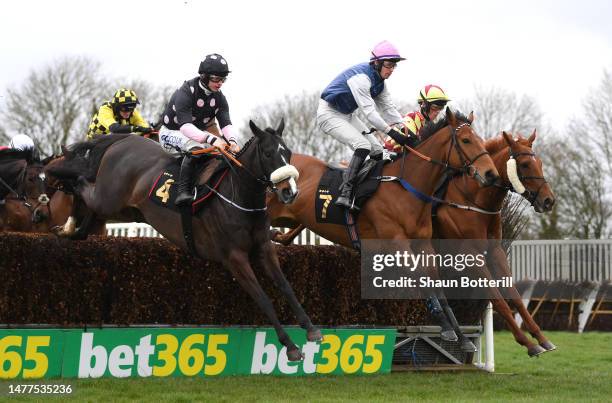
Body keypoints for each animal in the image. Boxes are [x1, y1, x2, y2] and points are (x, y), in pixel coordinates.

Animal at [46, 121, 322, 362]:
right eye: (267, 153)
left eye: (287, 152)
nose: (290, 192)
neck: (240, 199)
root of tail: (123, 140)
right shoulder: (234, 258)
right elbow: (263, 298)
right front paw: (290, 346)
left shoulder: (264, 249)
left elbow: (285, 286)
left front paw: (311, 329)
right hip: (109, 197)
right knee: (81, 183)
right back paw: (63, 204)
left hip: (122, 207)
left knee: (87, 213)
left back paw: (70, 230)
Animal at [266, 109, 498, 352]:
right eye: (466, 140)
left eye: (480, 140)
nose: (491, 174)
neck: (406, 187)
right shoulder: (397, 243)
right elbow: (421, 278)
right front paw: (444, 324)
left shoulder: (423, 244)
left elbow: (436, 284)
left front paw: (461, 337)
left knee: (285, 237)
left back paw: (277, 236)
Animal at [430, 132, 556, 356]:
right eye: (524, 164)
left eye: (540, 163)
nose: (549, 200)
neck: (473, 200)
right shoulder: (470, 256)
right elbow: (498, 299)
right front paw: (528, 343)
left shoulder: (495, 251)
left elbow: (515, 297)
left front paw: (541, 338)